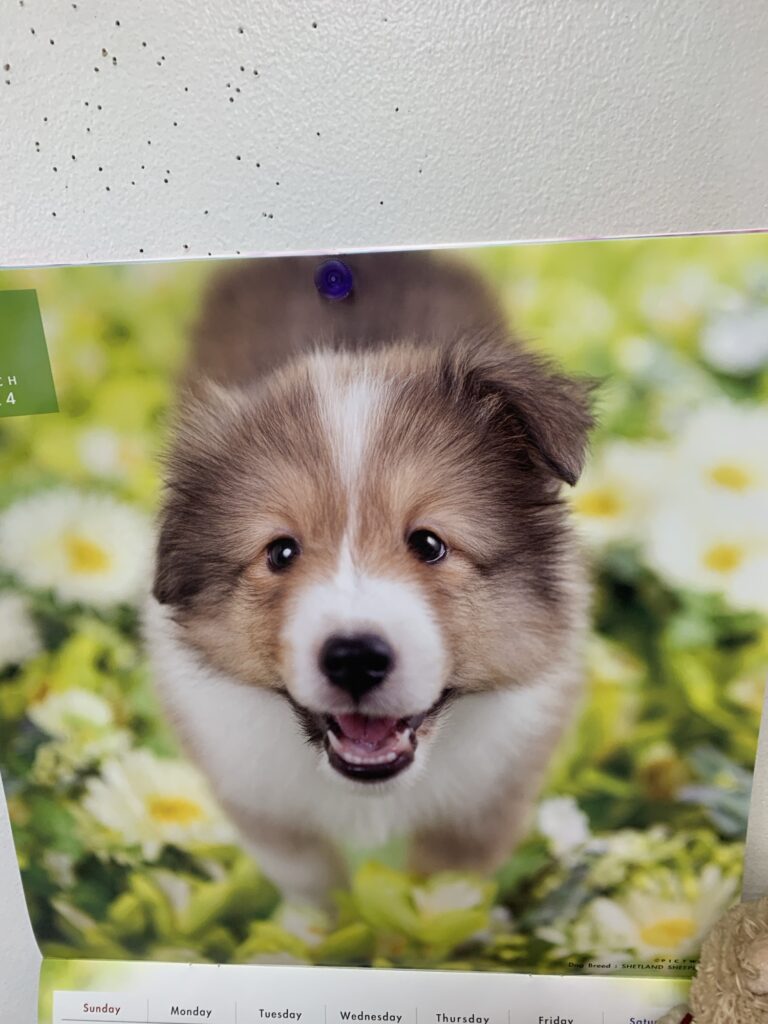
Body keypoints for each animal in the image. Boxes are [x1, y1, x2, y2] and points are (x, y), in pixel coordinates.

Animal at [145, 251, 594, 906]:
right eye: (280, 552)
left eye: (429, 544)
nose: (354, 659)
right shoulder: (257, 795)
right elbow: (313, 883)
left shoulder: (489, 798)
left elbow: (446, 889)